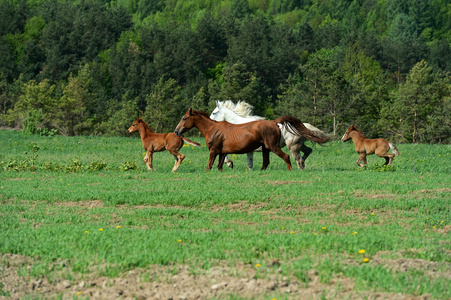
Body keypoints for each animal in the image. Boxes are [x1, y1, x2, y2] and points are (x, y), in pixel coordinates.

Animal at [173, 108, 328, 171]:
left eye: (184, 118)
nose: (176, 131)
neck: (213, 129)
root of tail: (275, 122)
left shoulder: (214, 151)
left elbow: (209, 166)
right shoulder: (223, 152)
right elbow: (220, 166)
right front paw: (230, 165)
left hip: (278, 147)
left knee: (288, 157)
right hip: (267, 148)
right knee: (267, 162)